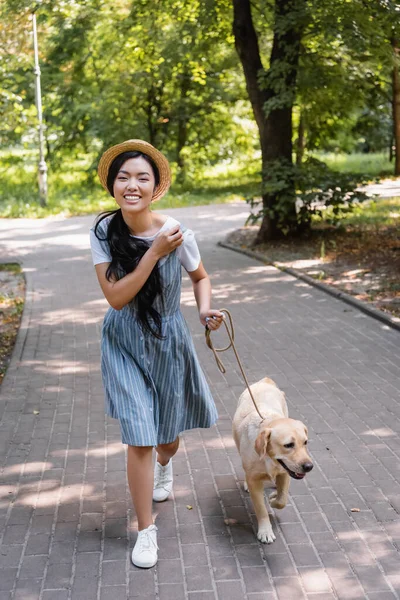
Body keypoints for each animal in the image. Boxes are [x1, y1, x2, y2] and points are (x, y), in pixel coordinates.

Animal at [231, 380, 312, 544]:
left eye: (305, 442)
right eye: (288, 445)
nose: (309, 467)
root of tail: (264, 381)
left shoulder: (286, 473)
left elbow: (282, 499)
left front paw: (274, 498)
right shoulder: (255, 480)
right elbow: (261, 509)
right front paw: (265, 531)